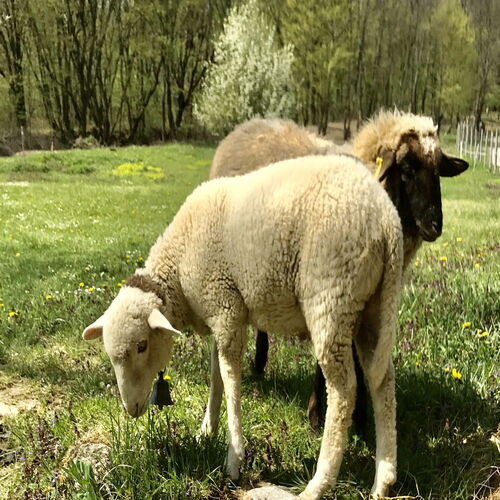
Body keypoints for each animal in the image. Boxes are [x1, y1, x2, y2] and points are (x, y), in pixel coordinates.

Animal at [83, 154, 405, 499]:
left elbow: (230, 379)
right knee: (383, 381)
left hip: (331, 295)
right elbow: (215, 376)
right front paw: (206, 430)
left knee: (344, 391)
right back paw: (383, 479)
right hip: (372, 305)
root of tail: (386, 217)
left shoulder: (226, 308)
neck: (179, 268)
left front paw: (233, 459)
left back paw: (318, 484)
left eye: (142, 345)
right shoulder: (218, 315)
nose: (130, 408)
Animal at [209, 111, 469, 431]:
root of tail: (250, 124)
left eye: (438, 171)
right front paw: (316, 415)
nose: (435, 225)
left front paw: (360, 419)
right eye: (407, 168)